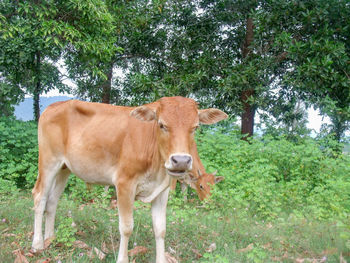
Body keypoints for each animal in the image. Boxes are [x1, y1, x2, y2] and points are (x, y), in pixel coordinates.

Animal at [30, 97, 227, 263]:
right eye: (162, 124)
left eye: (195, 127)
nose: (181, 160)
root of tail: (53, 106)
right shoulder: (124, 183)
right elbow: (126, 227)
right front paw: (122, 259)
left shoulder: (162, 191)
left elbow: (160, 229)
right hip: (48, 161)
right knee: (40, 196)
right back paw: (37, 244)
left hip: (64, 168)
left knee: (52, 201)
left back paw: (50, 238)